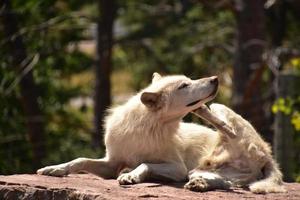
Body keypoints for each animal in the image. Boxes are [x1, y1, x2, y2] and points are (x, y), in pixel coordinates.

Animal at [37, 73, 286, 194]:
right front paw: (54, 169)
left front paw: (131, 176)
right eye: (184, 85)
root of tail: (269, 157)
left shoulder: (177, 168)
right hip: (201, 170)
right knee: (224, 182)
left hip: (217, 112)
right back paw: (200, 184)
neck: (145, 129)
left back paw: (206, 115)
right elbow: (79, 160)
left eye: (190, 80)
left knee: (227, 129)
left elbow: (145, 164)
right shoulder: (111, 162)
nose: (216, 79)